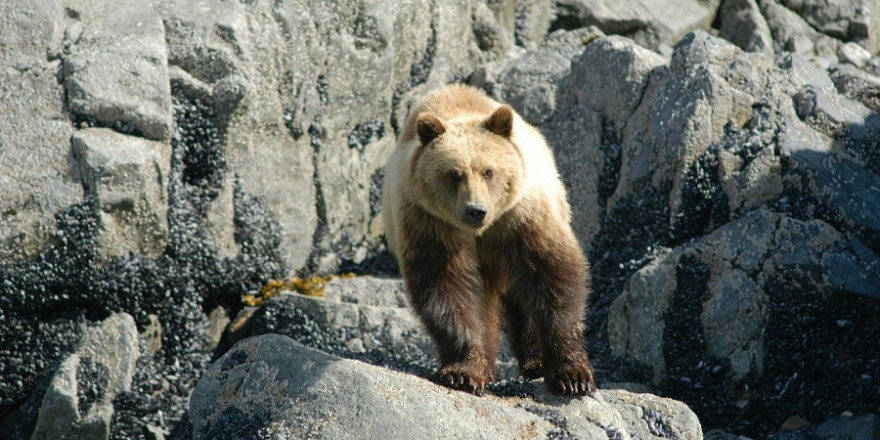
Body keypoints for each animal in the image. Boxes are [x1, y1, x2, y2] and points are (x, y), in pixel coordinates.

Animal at [382, 83, 596, 396]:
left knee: (521, 296)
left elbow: (553, 276)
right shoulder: (430, 224)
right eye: (454, 174)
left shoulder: (521, 217)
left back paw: (535, 363)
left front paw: (572, 375)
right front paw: (463, 372)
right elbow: (447, 288)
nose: (476, 210)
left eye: (488, 171)